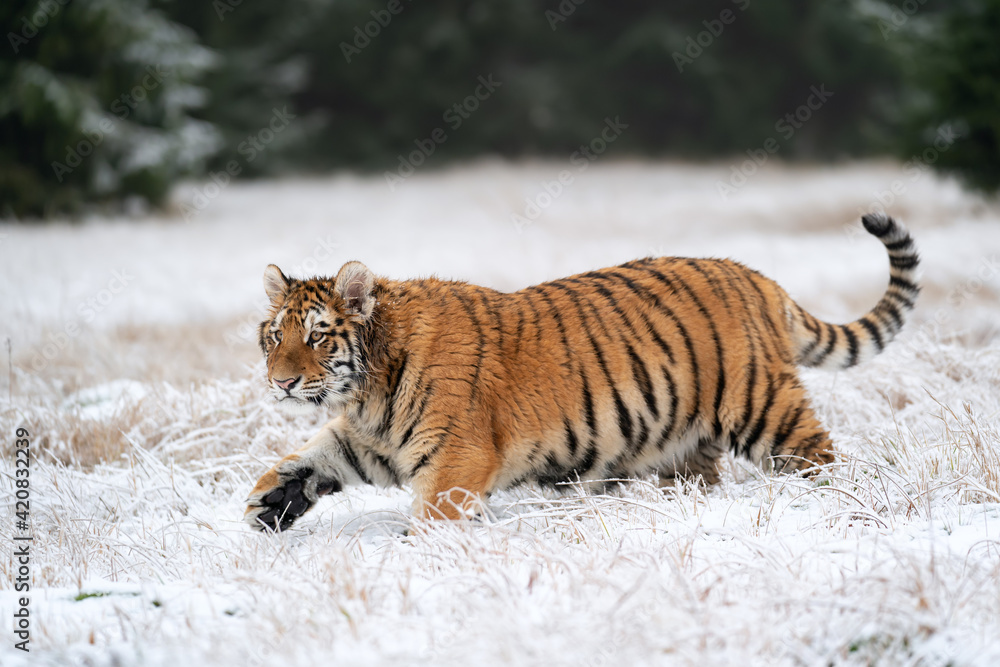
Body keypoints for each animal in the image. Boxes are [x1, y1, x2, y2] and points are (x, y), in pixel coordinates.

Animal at [244, 213, 919, 531]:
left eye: (317, 336)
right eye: (275, 337)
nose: (281, 382)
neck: (366, 391)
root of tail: (759, 278)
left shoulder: (455, 459)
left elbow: (433, 517)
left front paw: (418, 562)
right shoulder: (370, 442)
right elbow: (308, 456)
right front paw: (267, 504)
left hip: (763, 408)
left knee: (820, 457)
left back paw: (840, 504)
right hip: (684, 442)